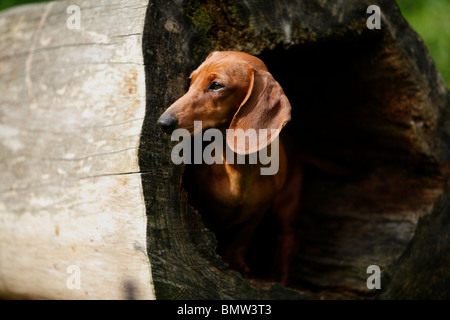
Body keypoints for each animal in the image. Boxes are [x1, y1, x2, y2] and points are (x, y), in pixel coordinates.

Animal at [157, 50, 302, 282]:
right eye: (191, 80)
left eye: (217, 85)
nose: (163, 122)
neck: (241, 168)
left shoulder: (257, 212)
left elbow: (240, 239)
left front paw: (236, 264)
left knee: (286, 240)